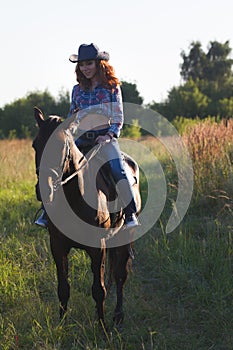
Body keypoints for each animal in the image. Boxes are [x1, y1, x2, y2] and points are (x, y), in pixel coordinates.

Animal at [31, 106, 141, 328]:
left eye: (61, 146)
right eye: (35, 145)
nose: (43, 190)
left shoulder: (98, 247)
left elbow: (99, 290)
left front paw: (102, 327)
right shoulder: (57, 245)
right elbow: (63, 288)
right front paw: (62, 325)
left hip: (125, 236)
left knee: (120, 276)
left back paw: (118, 316)